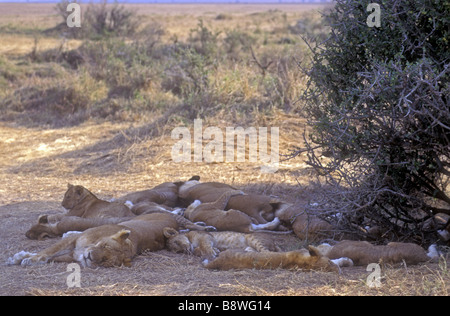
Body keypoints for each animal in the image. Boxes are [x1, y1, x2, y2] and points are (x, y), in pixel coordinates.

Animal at [9, 212, 181, 266]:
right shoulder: (75, 239)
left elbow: (52, 257)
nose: (90, 257)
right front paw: (24, 258)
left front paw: (25, 259)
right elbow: (47, 251)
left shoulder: (72, 254)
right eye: (104, 246)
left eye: (105, 260)